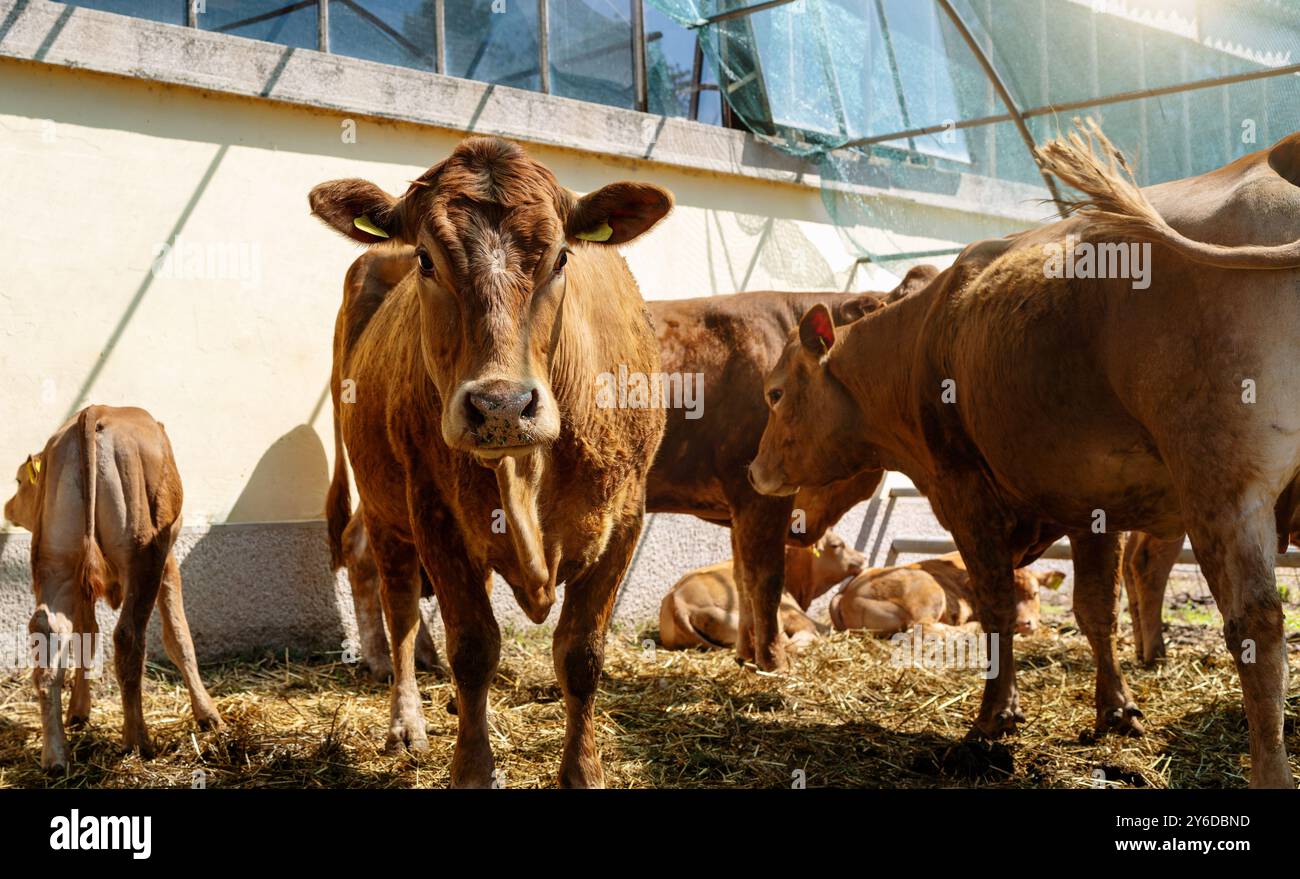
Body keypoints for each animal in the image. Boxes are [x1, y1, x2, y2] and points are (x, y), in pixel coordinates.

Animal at [3, 405, 222, 771]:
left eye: (20, 482)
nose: (7, 508)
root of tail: (96, 411)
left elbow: (86, 635)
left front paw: (79, 711)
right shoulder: (168, 561)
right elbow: (179, 637)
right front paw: (207, 714)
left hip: (57, 559)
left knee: (49, 632)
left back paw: (55, 755)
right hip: (143, 555)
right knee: (129, 636)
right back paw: (138, 741)